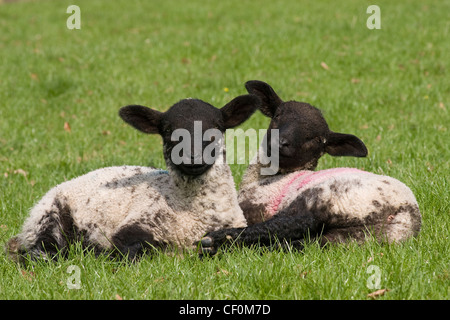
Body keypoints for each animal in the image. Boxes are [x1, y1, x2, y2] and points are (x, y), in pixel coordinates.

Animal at [6, 93, 260, 262]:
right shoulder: (134, 227)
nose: (193, 157)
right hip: (47, 217)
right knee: (41, 253)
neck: (193, 214)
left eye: (217, 127)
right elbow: (134, 250)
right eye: (168, 131)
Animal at [200, 80, 422, 255]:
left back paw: (214, 243)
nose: (281, 142)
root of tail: (403, 215)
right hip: (347, 239)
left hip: (324, 200)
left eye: (316, 139)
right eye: (278, 116)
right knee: (296, 244)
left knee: (285, 227)